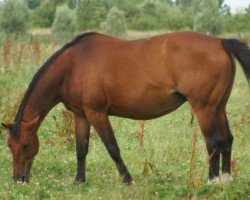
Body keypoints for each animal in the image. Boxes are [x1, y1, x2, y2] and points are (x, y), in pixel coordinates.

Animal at [1, 31, 250, 184]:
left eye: (25, 144)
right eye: (10, 146)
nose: (19, 179)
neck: (74, 65)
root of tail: (220, 41)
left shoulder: (97, 114)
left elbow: (112, 148)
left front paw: (127, 180)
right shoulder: (81, 115)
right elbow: (81, 148)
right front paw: (79, 181)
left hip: (203, 109)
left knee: (213, 142)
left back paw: (212, 181)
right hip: (218, 108)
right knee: (226, 140)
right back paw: (225, 180)